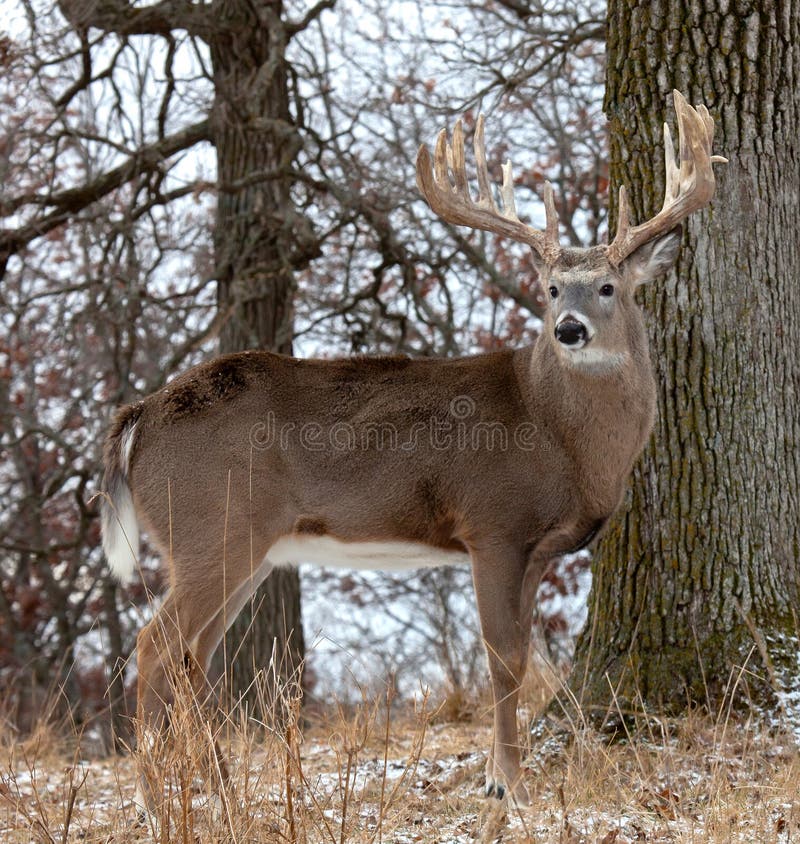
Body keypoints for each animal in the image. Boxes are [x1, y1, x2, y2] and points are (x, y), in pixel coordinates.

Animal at [100, 89, 724, 808]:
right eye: (549, 289)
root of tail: (137, 416)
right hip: (211, 525)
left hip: (241, 543)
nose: (568, 329)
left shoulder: (540, 548)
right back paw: (155, 798)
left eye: (608, 287)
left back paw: (220, 787)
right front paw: (505, 783)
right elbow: (505, 657)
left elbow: (524, 655)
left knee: (192, 654)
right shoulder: (493, 523)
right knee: (155, 645)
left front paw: (505, 774)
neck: (558, 434)